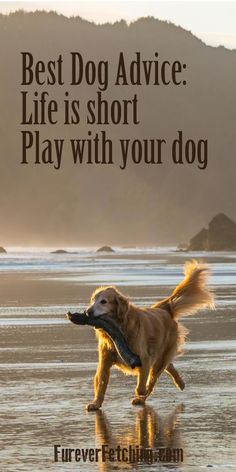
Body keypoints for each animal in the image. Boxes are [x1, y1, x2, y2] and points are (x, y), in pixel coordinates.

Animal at [85, 260, 214, 412]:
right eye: (92, 300)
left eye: (103, 301)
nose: (87, 312)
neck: (120, 329)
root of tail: (164, 308)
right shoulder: (105, 361)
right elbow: (101, 383)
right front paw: (96, 403)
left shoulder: (144, 360)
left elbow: (142, 386)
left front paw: (141, 393)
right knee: (168, 365)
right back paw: (180, 383)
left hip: (160, 355)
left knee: (155, 376)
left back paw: (146, 395)